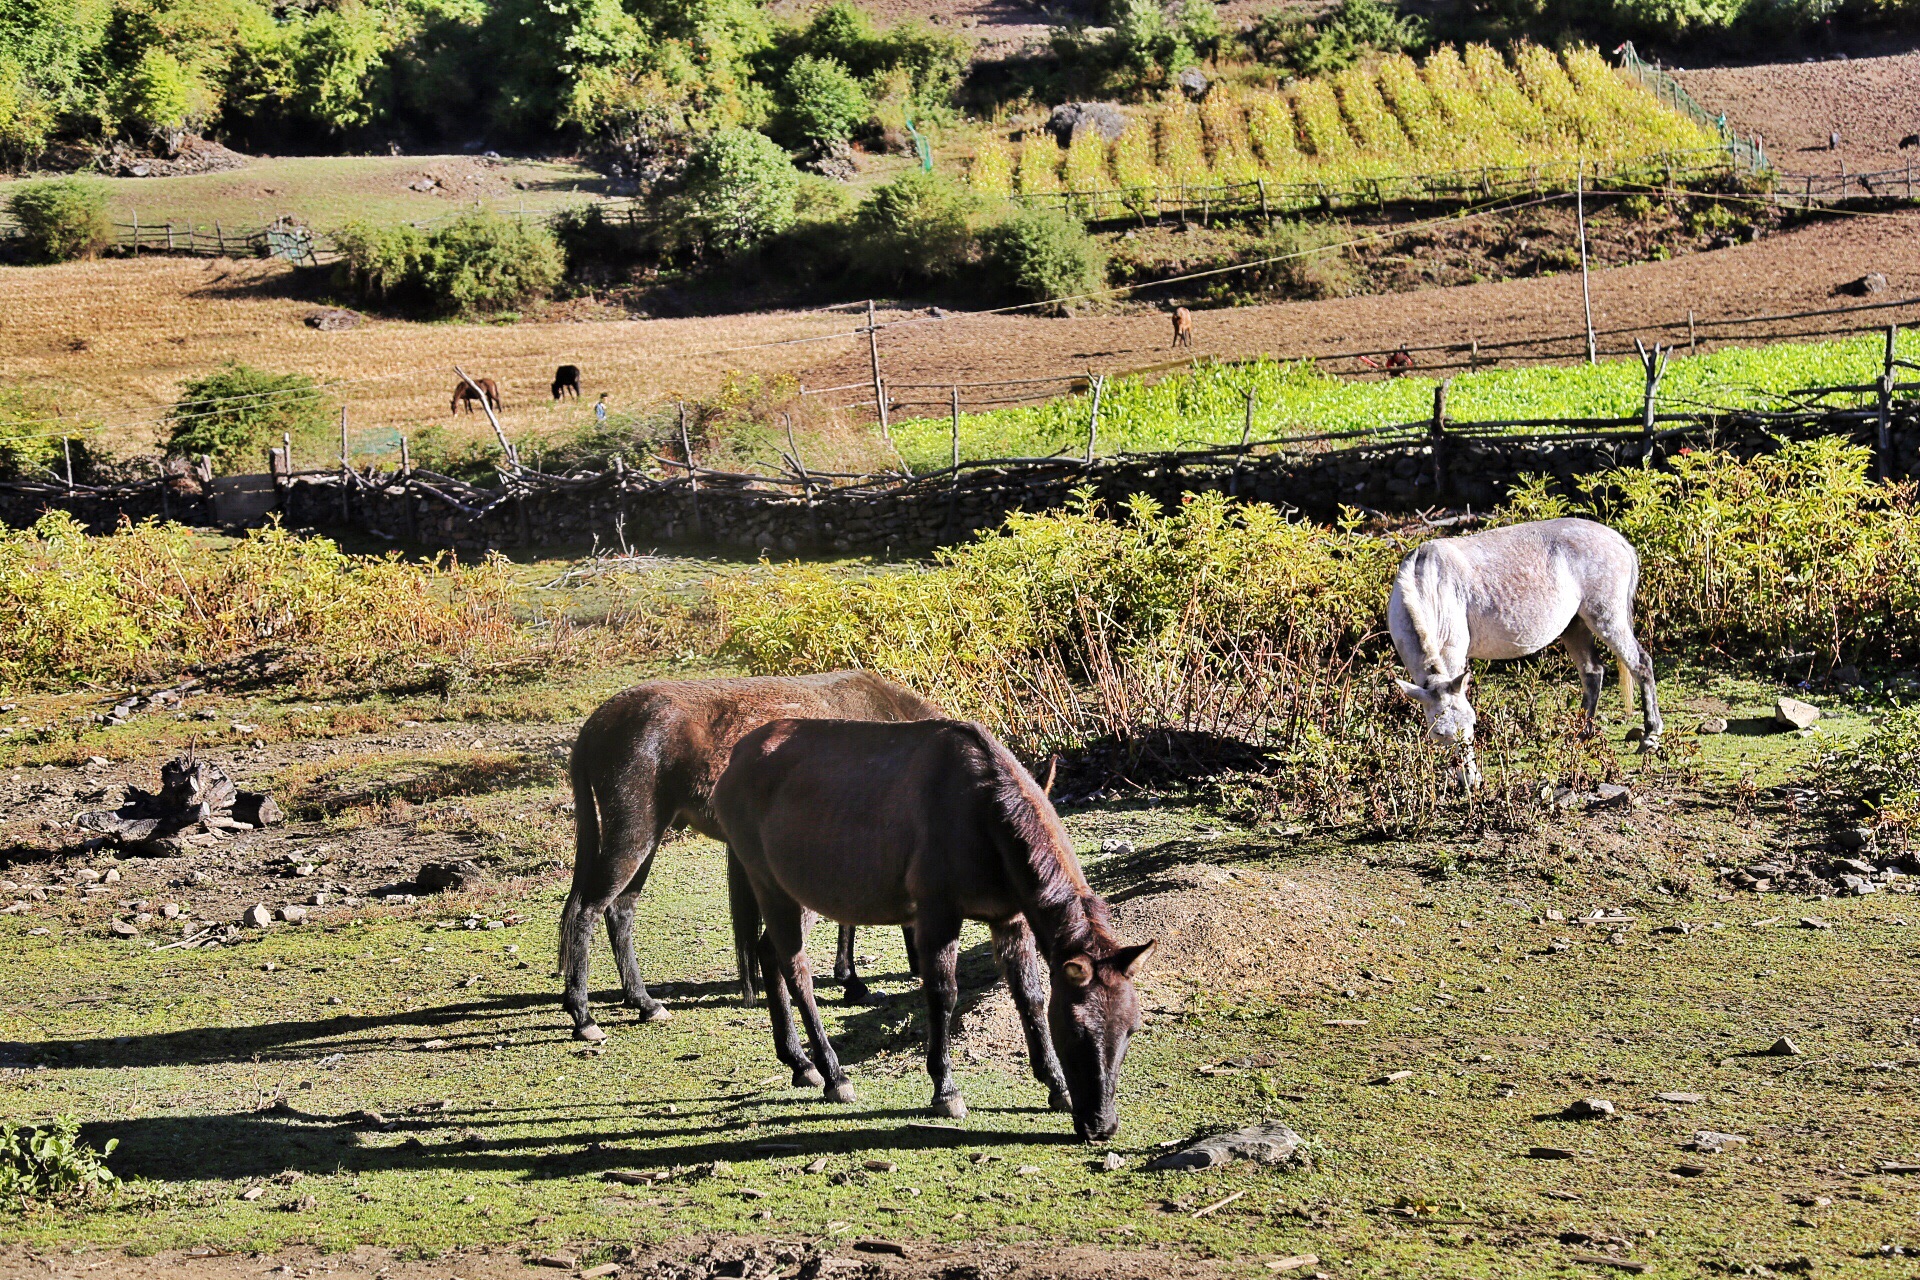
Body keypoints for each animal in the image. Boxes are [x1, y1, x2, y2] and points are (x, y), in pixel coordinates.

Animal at [560, 671, 940, 1043]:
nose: (920, 970)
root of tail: (596, 724)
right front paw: (851, 981)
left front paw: (850, 981)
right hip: (634, 837)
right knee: (586, 913)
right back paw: (583, 1017)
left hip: (646, 841)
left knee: (619, 912)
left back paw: (644, 1003)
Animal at [714, 717, 1144, 1143]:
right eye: (1078, 1030)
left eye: (1130, 1030)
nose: (1101, 1125)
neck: (982, 810)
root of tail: (737, 756)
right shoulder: (938, 916)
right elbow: (943, 995)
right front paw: (946, 1090)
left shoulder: (1011, 920)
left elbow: (1029, 997)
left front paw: (1056, 1085)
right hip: (773, 887)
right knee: (796, 971)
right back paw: (834, 1074)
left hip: (800, 893)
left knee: (769, 953)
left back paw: (799, 1063)